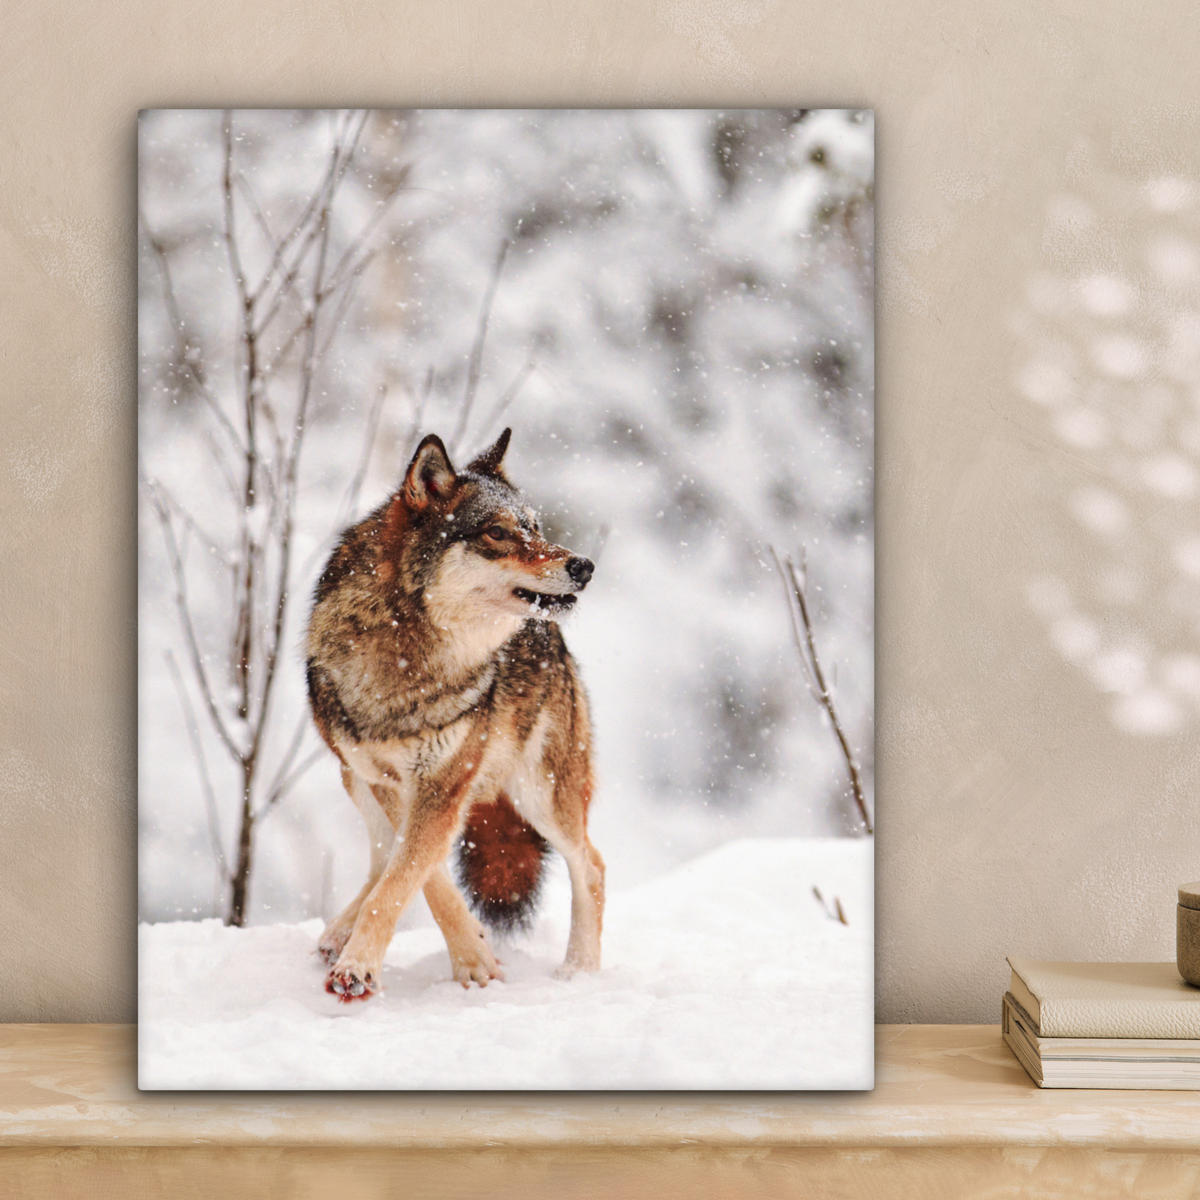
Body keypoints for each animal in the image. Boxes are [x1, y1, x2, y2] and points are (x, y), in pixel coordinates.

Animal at [305, 427, 604, 1001]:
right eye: (498, 533)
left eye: (535, 527)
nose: (583, 566)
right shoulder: (390, 780)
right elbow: (418, 876)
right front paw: (474, 955)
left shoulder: (443, 783)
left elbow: (405, 878)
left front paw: (363, 968)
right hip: (353, 778)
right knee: (380, 857)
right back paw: (336, 933)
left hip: (541, 794)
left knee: (592, 866)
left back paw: (579, 972)